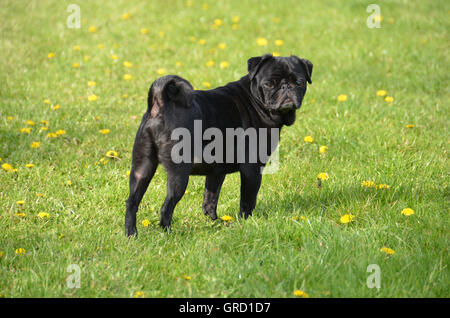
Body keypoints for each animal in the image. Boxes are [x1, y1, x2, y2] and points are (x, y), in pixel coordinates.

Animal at [125, 53, 312, 235]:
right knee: (166, 207)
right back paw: (168, 233)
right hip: (179, 174)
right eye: (269, 84)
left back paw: (131, 234)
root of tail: (160, 103)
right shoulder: (252, 169)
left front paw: (214, 222)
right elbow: (248, 199)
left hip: (142, 168)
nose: (286, 87)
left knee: (132, 202)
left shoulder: (216, 172)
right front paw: (247, 222)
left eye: (300, 82)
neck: (255, 101)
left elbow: (210, 199)